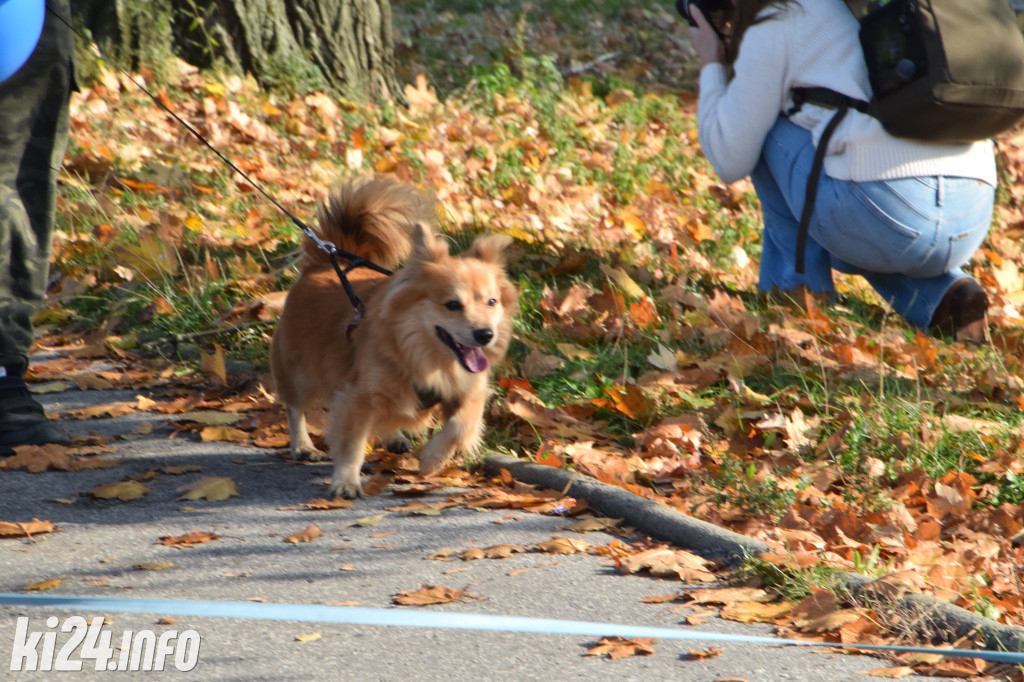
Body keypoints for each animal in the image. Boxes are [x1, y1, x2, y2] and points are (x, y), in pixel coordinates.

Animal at [270, 178, 516, 497]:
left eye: (492, 302)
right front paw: (346, 481)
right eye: (452, 305)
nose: (485, 334)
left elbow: (460, 425)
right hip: (299, 372)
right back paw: (302, 445)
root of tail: (323, 262)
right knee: (296, 407)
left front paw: (434, 458)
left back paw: (394, 437)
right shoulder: (359, 396)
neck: (432, 360)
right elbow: (353, 443)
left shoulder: (471, 391)